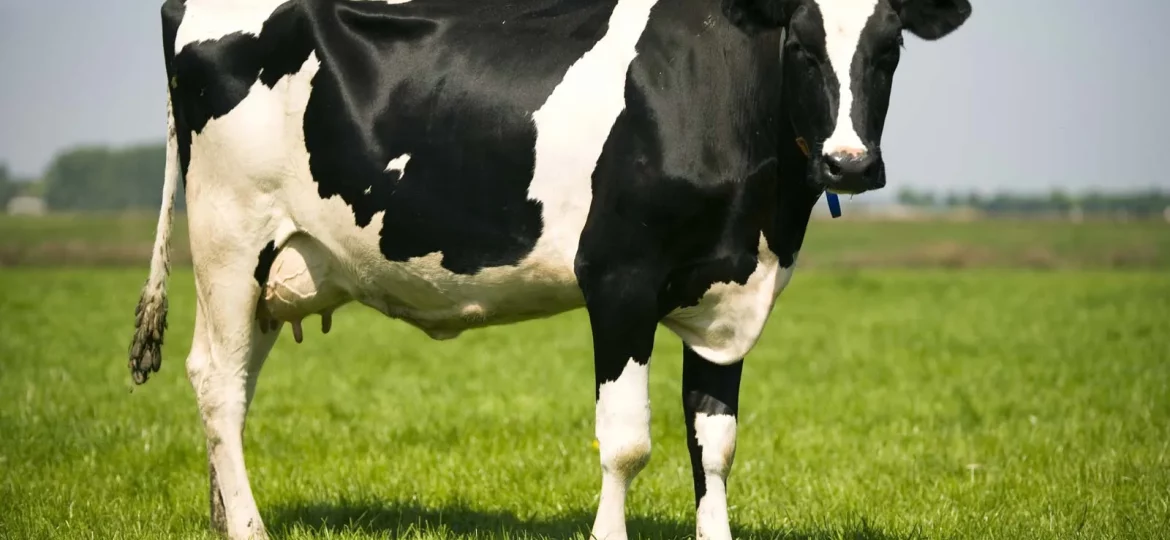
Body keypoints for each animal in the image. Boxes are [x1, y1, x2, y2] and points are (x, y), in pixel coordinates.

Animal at [128, 0, 970, 538]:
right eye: (802, 46)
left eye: (889, 49)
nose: (849, 162)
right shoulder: (619, 279)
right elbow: (627, 441)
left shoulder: (730, 292)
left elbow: (715, 441)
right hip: (229, 235)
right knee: (215, 380)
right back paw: (248, 528)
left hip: (278, 264)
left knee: (237, 386)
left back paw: (225, 517)